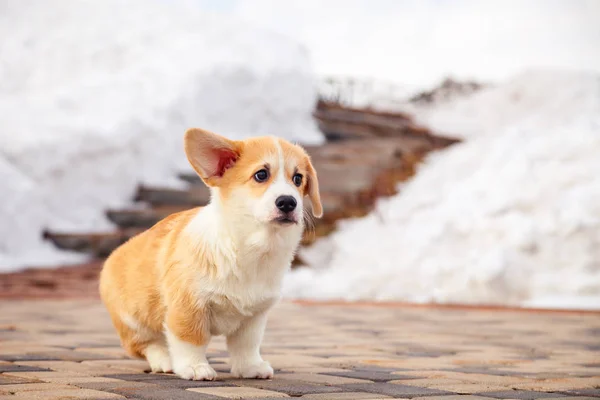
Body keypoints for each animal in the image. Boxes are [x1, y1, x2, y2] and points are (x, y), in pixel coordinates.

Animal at [99, 128, 324, 382]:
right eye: (261, 175)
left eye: (298, 179)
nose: (288, 202)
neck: (249, 247)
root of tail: (113, 256)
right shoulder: (188, 306)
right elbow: (191, 339)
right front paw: (195, 368)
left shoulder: (254, 316)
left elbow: (247, 345)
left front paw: (250, 367)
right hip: (133, 320)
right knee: (147, 343)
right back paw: (165, 361)